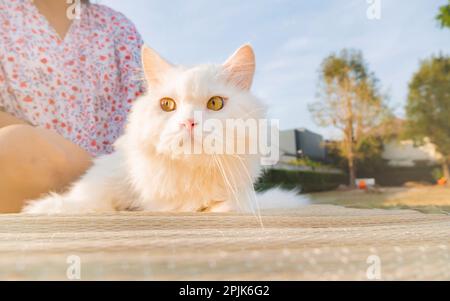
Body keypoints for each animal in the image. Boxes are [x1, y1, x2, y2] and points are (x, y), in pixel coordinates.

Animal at [22, 44, 294, 213]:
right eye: (167, 105)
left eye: (215, 104)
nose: (188, 122)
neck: (189, 178)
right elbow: (87, 202)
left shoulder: (239, 196)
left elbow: (228, 204)